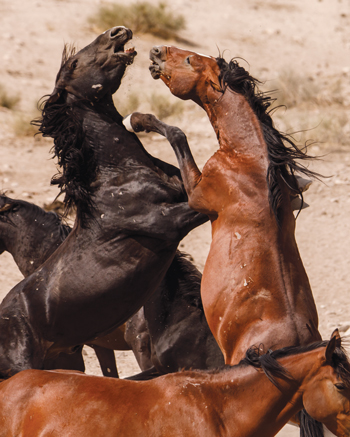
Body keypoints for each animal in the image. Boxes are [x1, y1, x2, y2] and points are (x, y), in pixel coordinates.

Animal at [126, 45, 322, 364]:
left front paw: (137, 119)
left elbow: (177, 133)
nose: (156, 51)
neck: (249, 159)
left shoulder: (197, 194)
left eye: (189, 60)